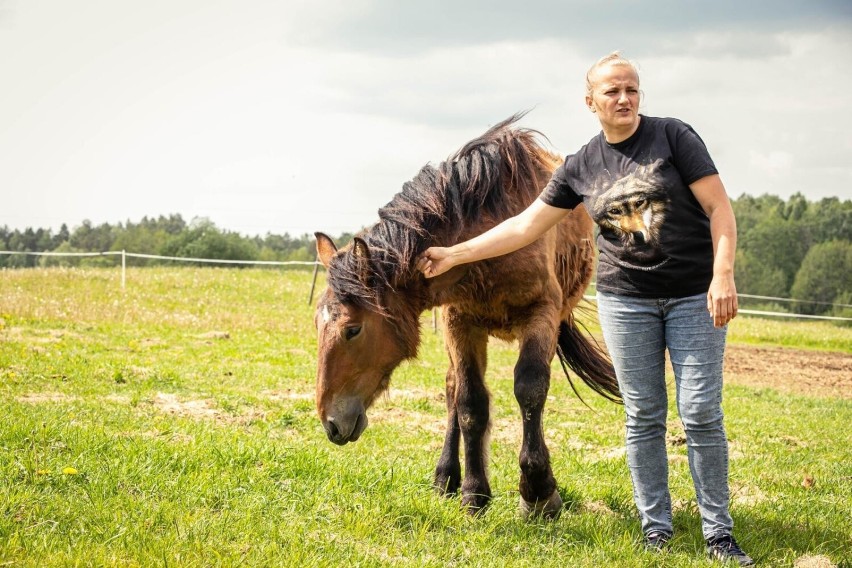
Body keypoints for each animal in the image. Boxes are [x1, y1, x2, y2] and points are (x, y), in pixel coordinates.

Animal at [312, 114, 620, 520]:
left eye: (353, 329)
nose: (331, 424)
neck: (489, 236)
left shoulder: (542, 316)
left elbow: (530, 389)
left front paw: (538, 493)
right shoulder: (460, 323)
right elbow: (470, 402)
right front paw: (474, 493)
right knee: (452, 389)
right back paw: (446, 476)